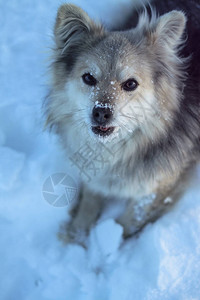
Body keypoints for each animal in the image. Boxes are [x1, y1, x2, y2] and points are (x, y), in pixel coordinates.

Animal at [45, 1, 200, 244]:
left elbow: (130, 220)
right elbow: (89, 201)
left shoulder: (161, 187)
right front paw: (76, 235)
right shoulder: (96, 174)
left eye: (130, 84)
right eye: (88, 78)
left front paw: (111, 245)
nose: (101, 112)